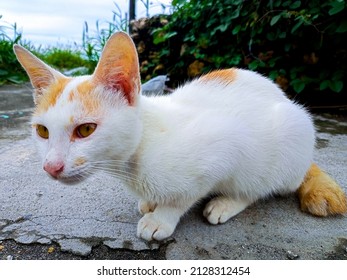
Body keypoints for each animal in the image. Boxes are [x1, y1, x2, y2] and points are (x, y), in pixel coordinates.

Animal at [14, 30, 347, 241]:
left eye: (85, 130)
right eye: (42, 131)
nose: (51, 167)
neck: (136, 156)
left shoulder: (225, 147)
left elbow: (187, 193)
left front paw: (162, 216)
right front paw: (150, 203)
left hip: (291, 133)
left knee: (261, 185)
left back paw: (228, 202)